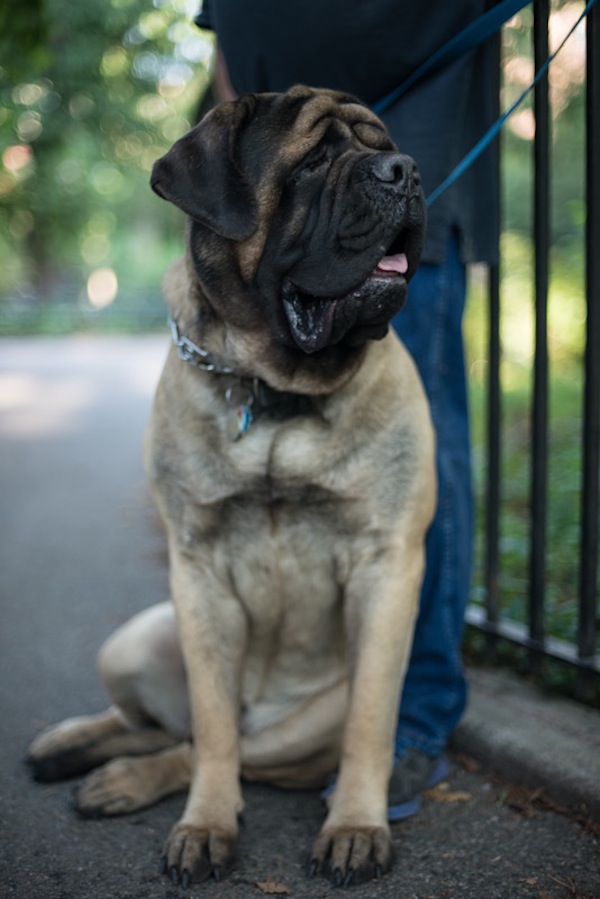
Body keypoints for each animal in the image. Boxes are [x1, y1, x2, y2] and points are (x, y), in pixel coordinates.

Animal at [25, 82, 434, 884]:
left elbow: (369, 722)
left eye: (386, 147)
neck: (273, 389)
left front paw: (355, 826)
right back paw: (72, 746)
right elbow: (213, 727)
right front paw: (206, 825)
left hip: (309, 717)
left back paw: (114, 777)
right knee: (173, 727)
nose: (404, 170)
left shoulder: (387, 567)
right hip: (133, 638)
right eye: (312, 162)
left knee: (210, 744)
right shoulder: (200, 573)